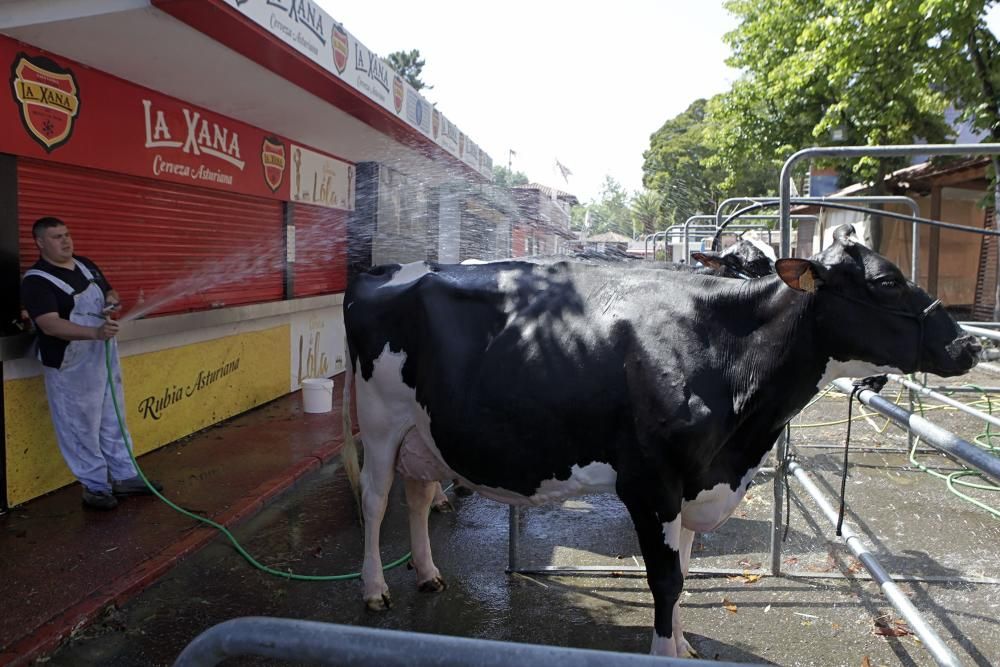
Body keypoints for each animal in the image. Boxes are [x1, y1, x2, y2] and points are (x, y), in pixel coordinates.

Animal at [342, 226, 976, 656]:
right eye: (886, 281)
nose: (969, 344)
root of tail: (387, 270)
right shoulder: (651, 482)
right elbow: (666, 579)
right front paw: (663, 651)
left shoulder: (695, 478)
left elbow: (686, 573)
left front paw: (682, 645)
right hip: (379, 420)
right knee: (375, 500)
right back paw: (374, 588)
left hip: (423, 431)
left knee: (418, 495)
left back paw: (428, 573)